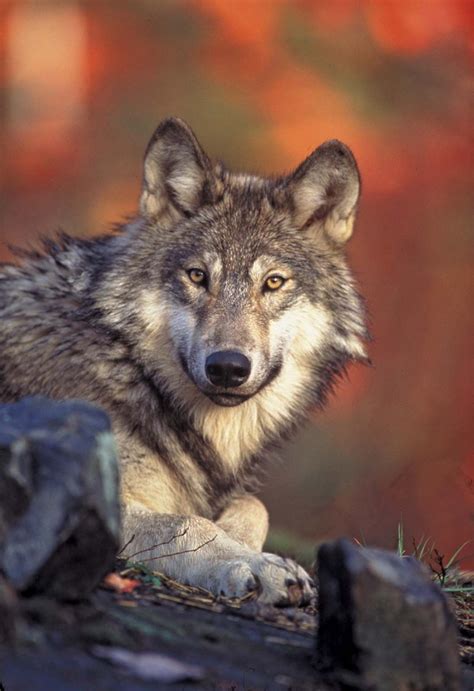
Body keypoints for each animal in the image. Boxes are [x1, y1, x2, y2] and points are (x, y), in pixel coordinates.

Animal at [0, 118, 368, 605]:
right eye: (198, 276)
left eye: (273, 282)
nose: (228, 367)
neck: (130, 369)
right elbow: (187, 524)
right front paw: (255, 564)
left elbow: (254, 506)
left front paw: (243, 543)